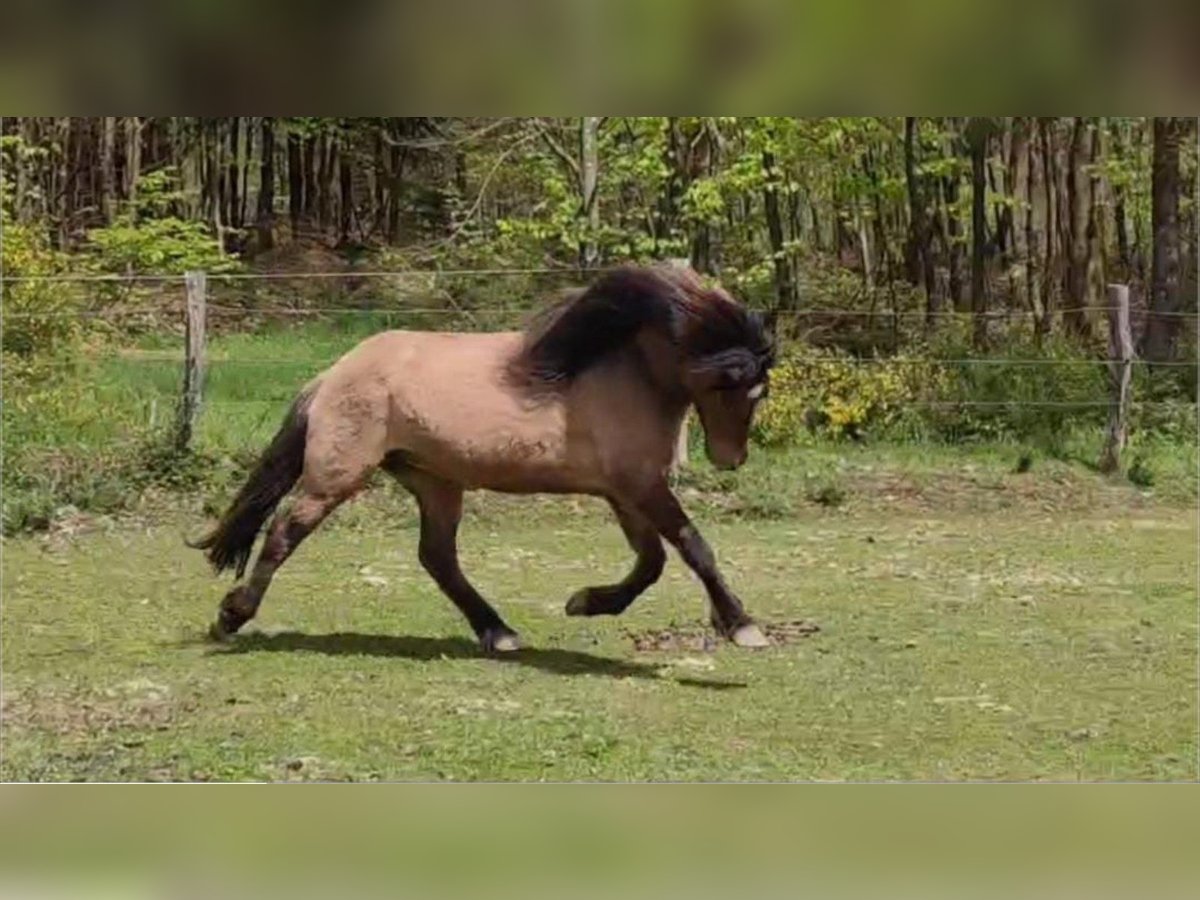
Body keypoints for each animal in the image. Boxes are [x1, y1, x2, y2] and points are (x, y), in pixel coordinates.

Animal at [189, 264, 777, 652]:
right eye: (743, 388)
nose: (731, 459)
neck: (621, 370)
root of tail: (331, 375)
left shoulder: (625, 491)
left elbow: (652, 561)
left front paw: (586, 601)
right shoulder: (639, 486)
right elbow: (692, 546)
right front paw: (742, 625)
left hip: (435, 481)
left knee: (437, 557)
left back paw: (499, 632)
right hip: (336, 477)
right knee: (284, 532)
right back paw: (230, 617)